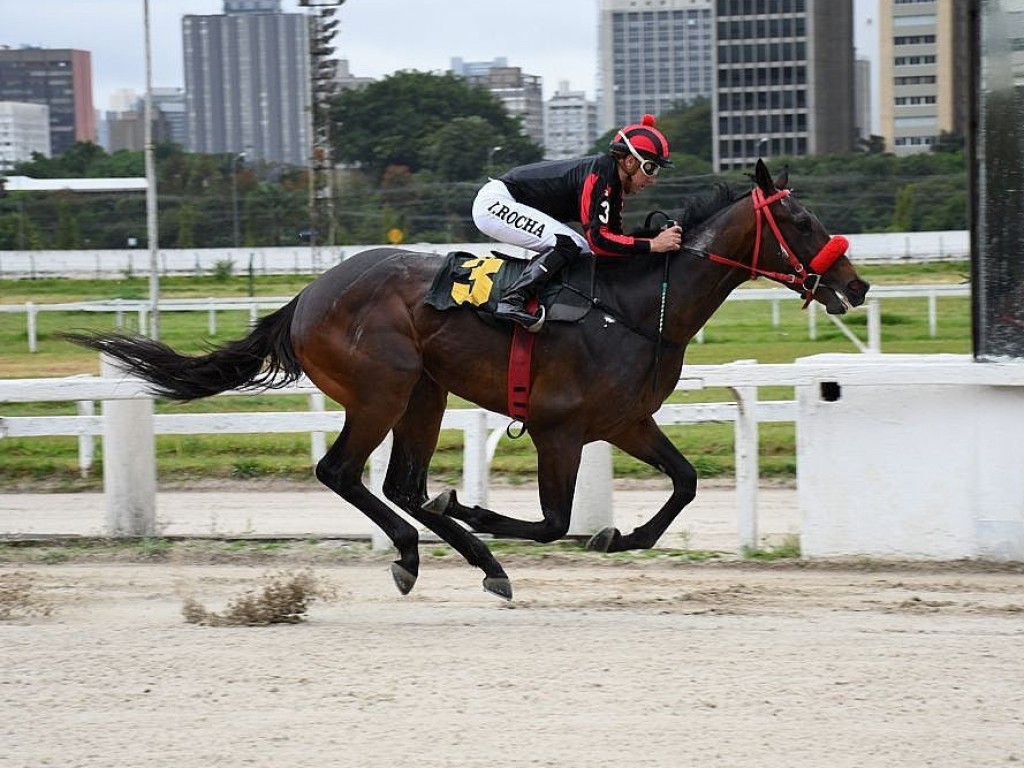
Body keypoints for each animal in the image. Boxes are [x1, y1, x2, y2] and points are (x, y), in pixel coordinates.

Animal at [64, 160, 868, 602]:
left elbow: (685, 485)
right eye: (799, 219)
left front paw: (620, 537)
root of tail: (307, 297)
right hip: (383, 388)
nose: (855, 285)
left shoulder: (625, 422)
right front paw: (481, 510)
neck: (639, 307)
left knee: (401, 484)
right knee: (343, 472)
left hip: (426, 391)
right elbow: (550, 522)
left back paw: (455, 556)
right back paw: (432, 549)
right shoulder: (558, 430)